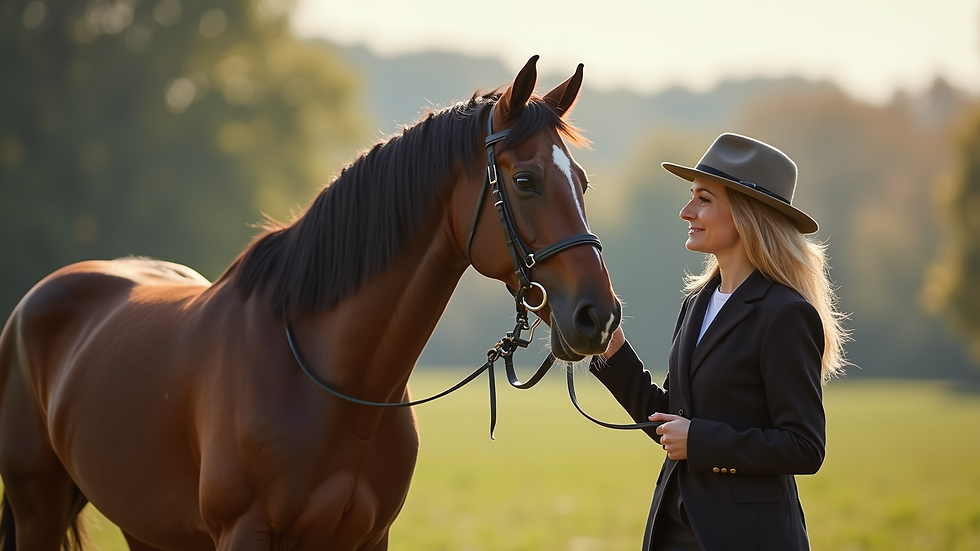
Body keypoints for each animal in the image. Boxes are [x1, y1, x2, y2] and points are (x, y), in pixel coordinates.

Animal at [0, 55, 621, 551]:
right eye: (525, 180)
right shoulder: (244, 532)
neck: (333, 386)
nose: (598, 316)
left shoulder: (367, 537)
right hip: (37, 509)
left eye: (584, 182)